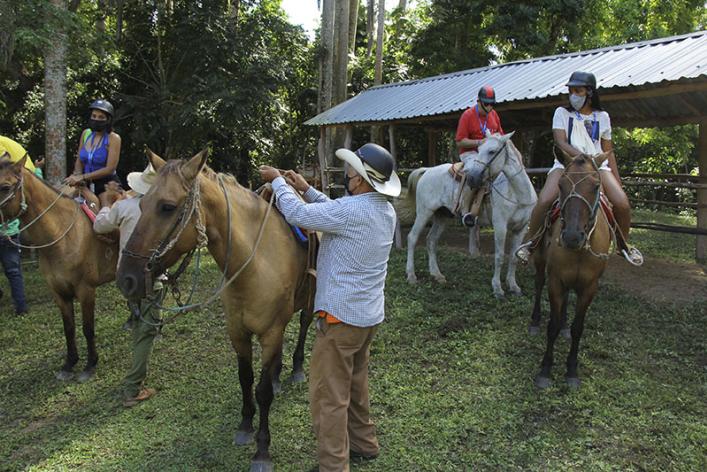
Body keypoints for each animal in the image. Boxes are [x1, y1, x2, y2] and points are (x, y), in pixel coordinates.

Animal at [0, 153, 117, 382]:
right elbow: (68, 328)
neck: (62, 235)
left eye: (6, 186)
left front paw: (90, 365)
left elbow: (87, 328)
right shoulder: (59, 293)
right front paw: (69, 364)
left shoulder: (86, 290)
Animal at [116, 148, 312, 472]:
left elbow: (262, 392)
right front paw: (245, 426)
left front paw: (262, 450)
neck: (255, 263)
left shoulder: (270, 333)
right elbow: (245, 378)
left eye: (167, 207)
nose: (127, 278)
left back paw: (295, 369)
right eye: (141, 205)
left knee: (306, 324)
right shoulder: (238, 332)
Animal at [404, 131, 536, 296]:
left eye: (492, 151)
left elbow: (513, 257)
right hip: (424, 212)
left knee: (431, 240)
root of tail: (428, 170)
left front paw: (513, 286)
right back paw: (411, 276)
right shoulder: (500, 226)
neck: (517, 194)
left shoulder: (521, 228)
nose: (473, 178)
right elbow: (499, 257)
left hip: (442, 216)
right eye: (479, 149)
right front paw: (497, 288)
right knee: (412, 238)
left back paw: (437, 275)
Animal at [528, 153, 612, 390]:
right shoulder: (556, 281)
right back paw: (534, 322)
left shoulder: (589, 287)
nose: (572, 237)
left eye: (596, 186)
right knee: (538, 284)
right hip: (541, 262)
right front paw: (545, 370)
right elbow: (552, 326)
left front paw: (572, 370)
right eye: (560, 185)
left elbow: (577, 328)